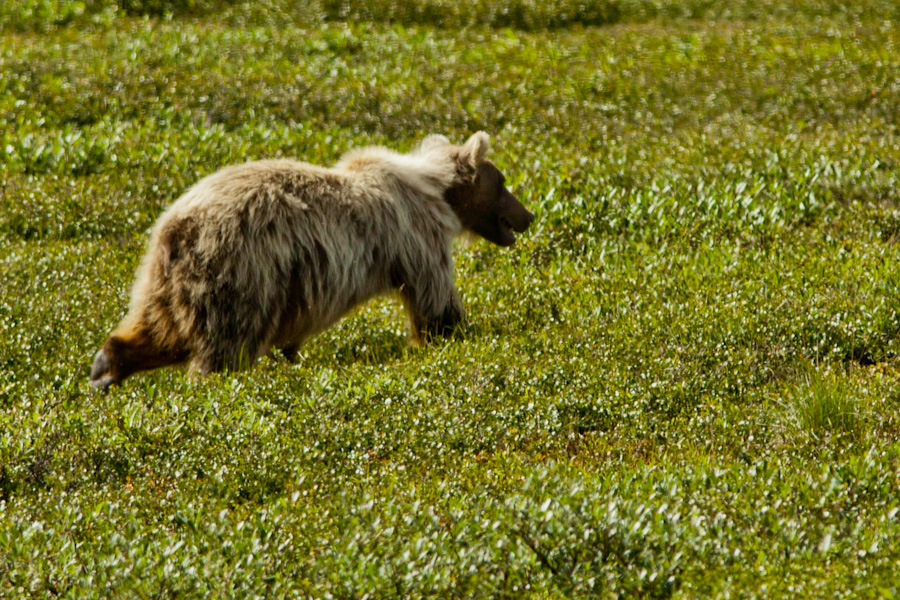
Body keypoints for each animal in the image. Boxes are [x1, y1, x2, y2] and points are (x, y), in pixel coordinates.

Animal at [88, 132, 532, 390]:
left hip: (170, 278)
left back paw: (104, 368)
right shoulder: (417, 239)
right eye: (503, 182)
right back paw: (212, 383)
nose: (528, 215)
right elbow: (435, 302)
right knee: (224, 342)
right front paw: (459, 334)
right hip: (241, 268)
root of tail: (175, 227)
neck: (439, 193)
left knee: (159, 327)